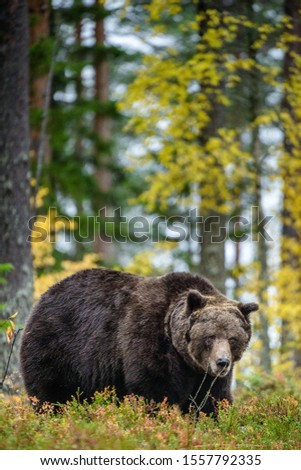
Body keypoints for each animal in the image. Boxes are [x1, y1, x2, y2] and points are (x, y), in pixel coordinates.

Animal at [19, 268, 256, 414]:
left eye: (232, 338)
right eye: (209, 337)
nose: (222, 362)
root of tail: (46, 294)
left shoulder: (204, 375)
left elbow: (211, 400)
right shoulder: (148, 339)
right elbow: (154, 391)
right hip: (58, 348)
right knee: (52, 394)